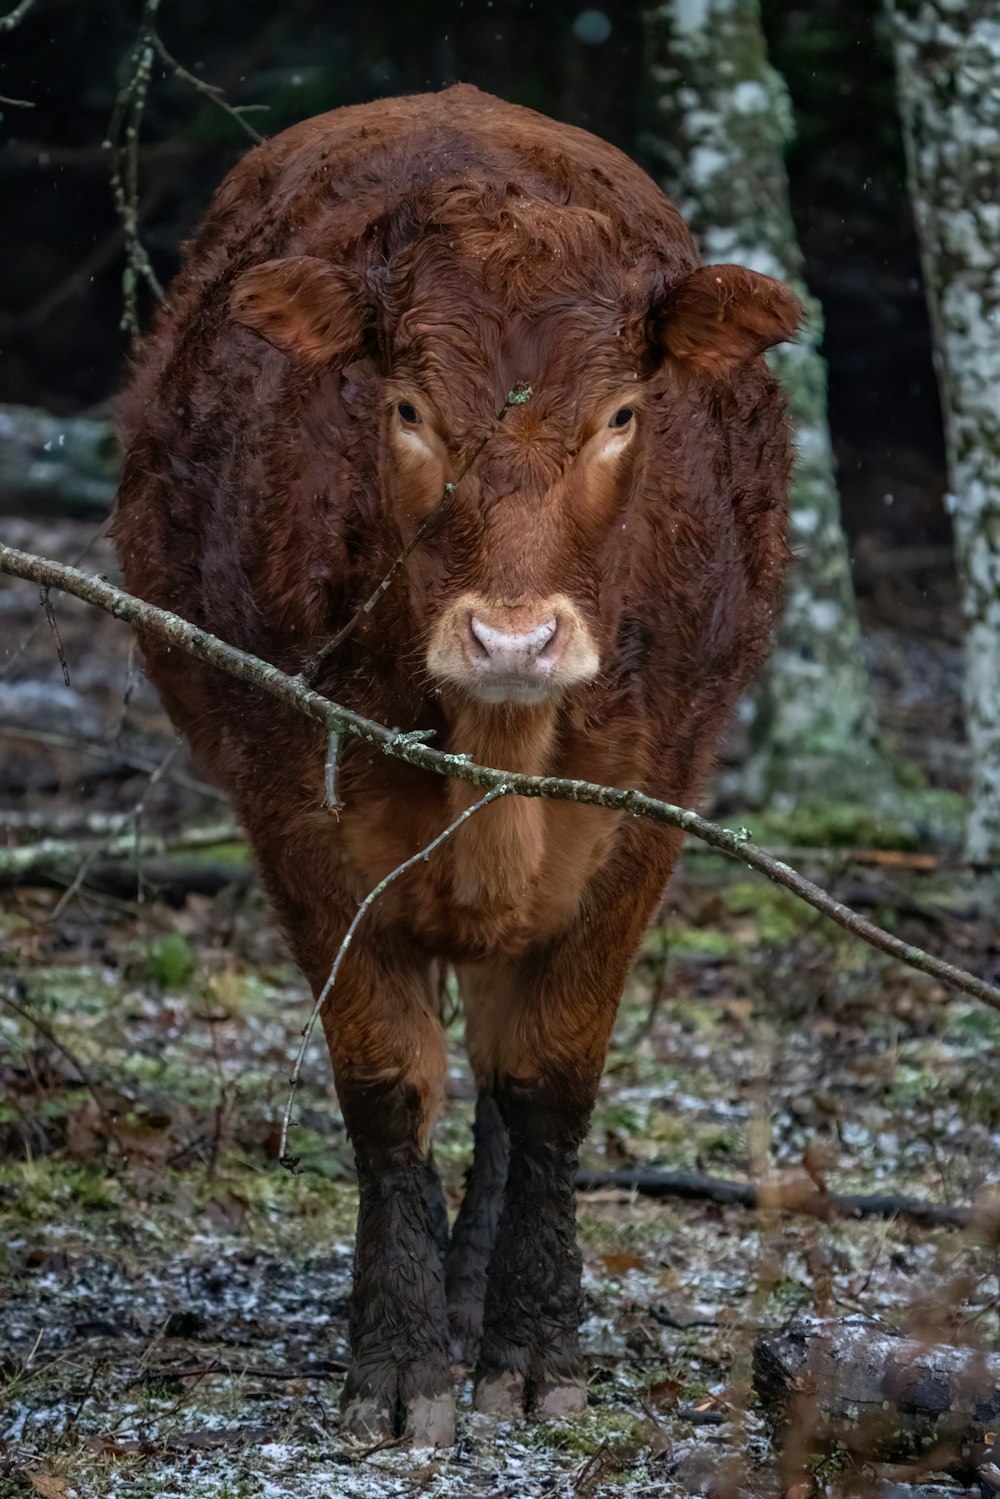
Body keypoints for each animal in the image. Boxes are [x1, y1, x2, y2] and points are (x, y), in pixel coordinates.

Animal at [113, 82, 803, 1439]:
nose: (513, 635)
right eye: (409, 410)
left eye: (621, 415)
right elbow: (387, 1080)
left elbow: (547, 1076)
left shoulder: (647, 809)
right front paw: (399, 1357)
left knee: (499, 1069)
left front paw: (533, 1343)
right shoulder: (295, 813)